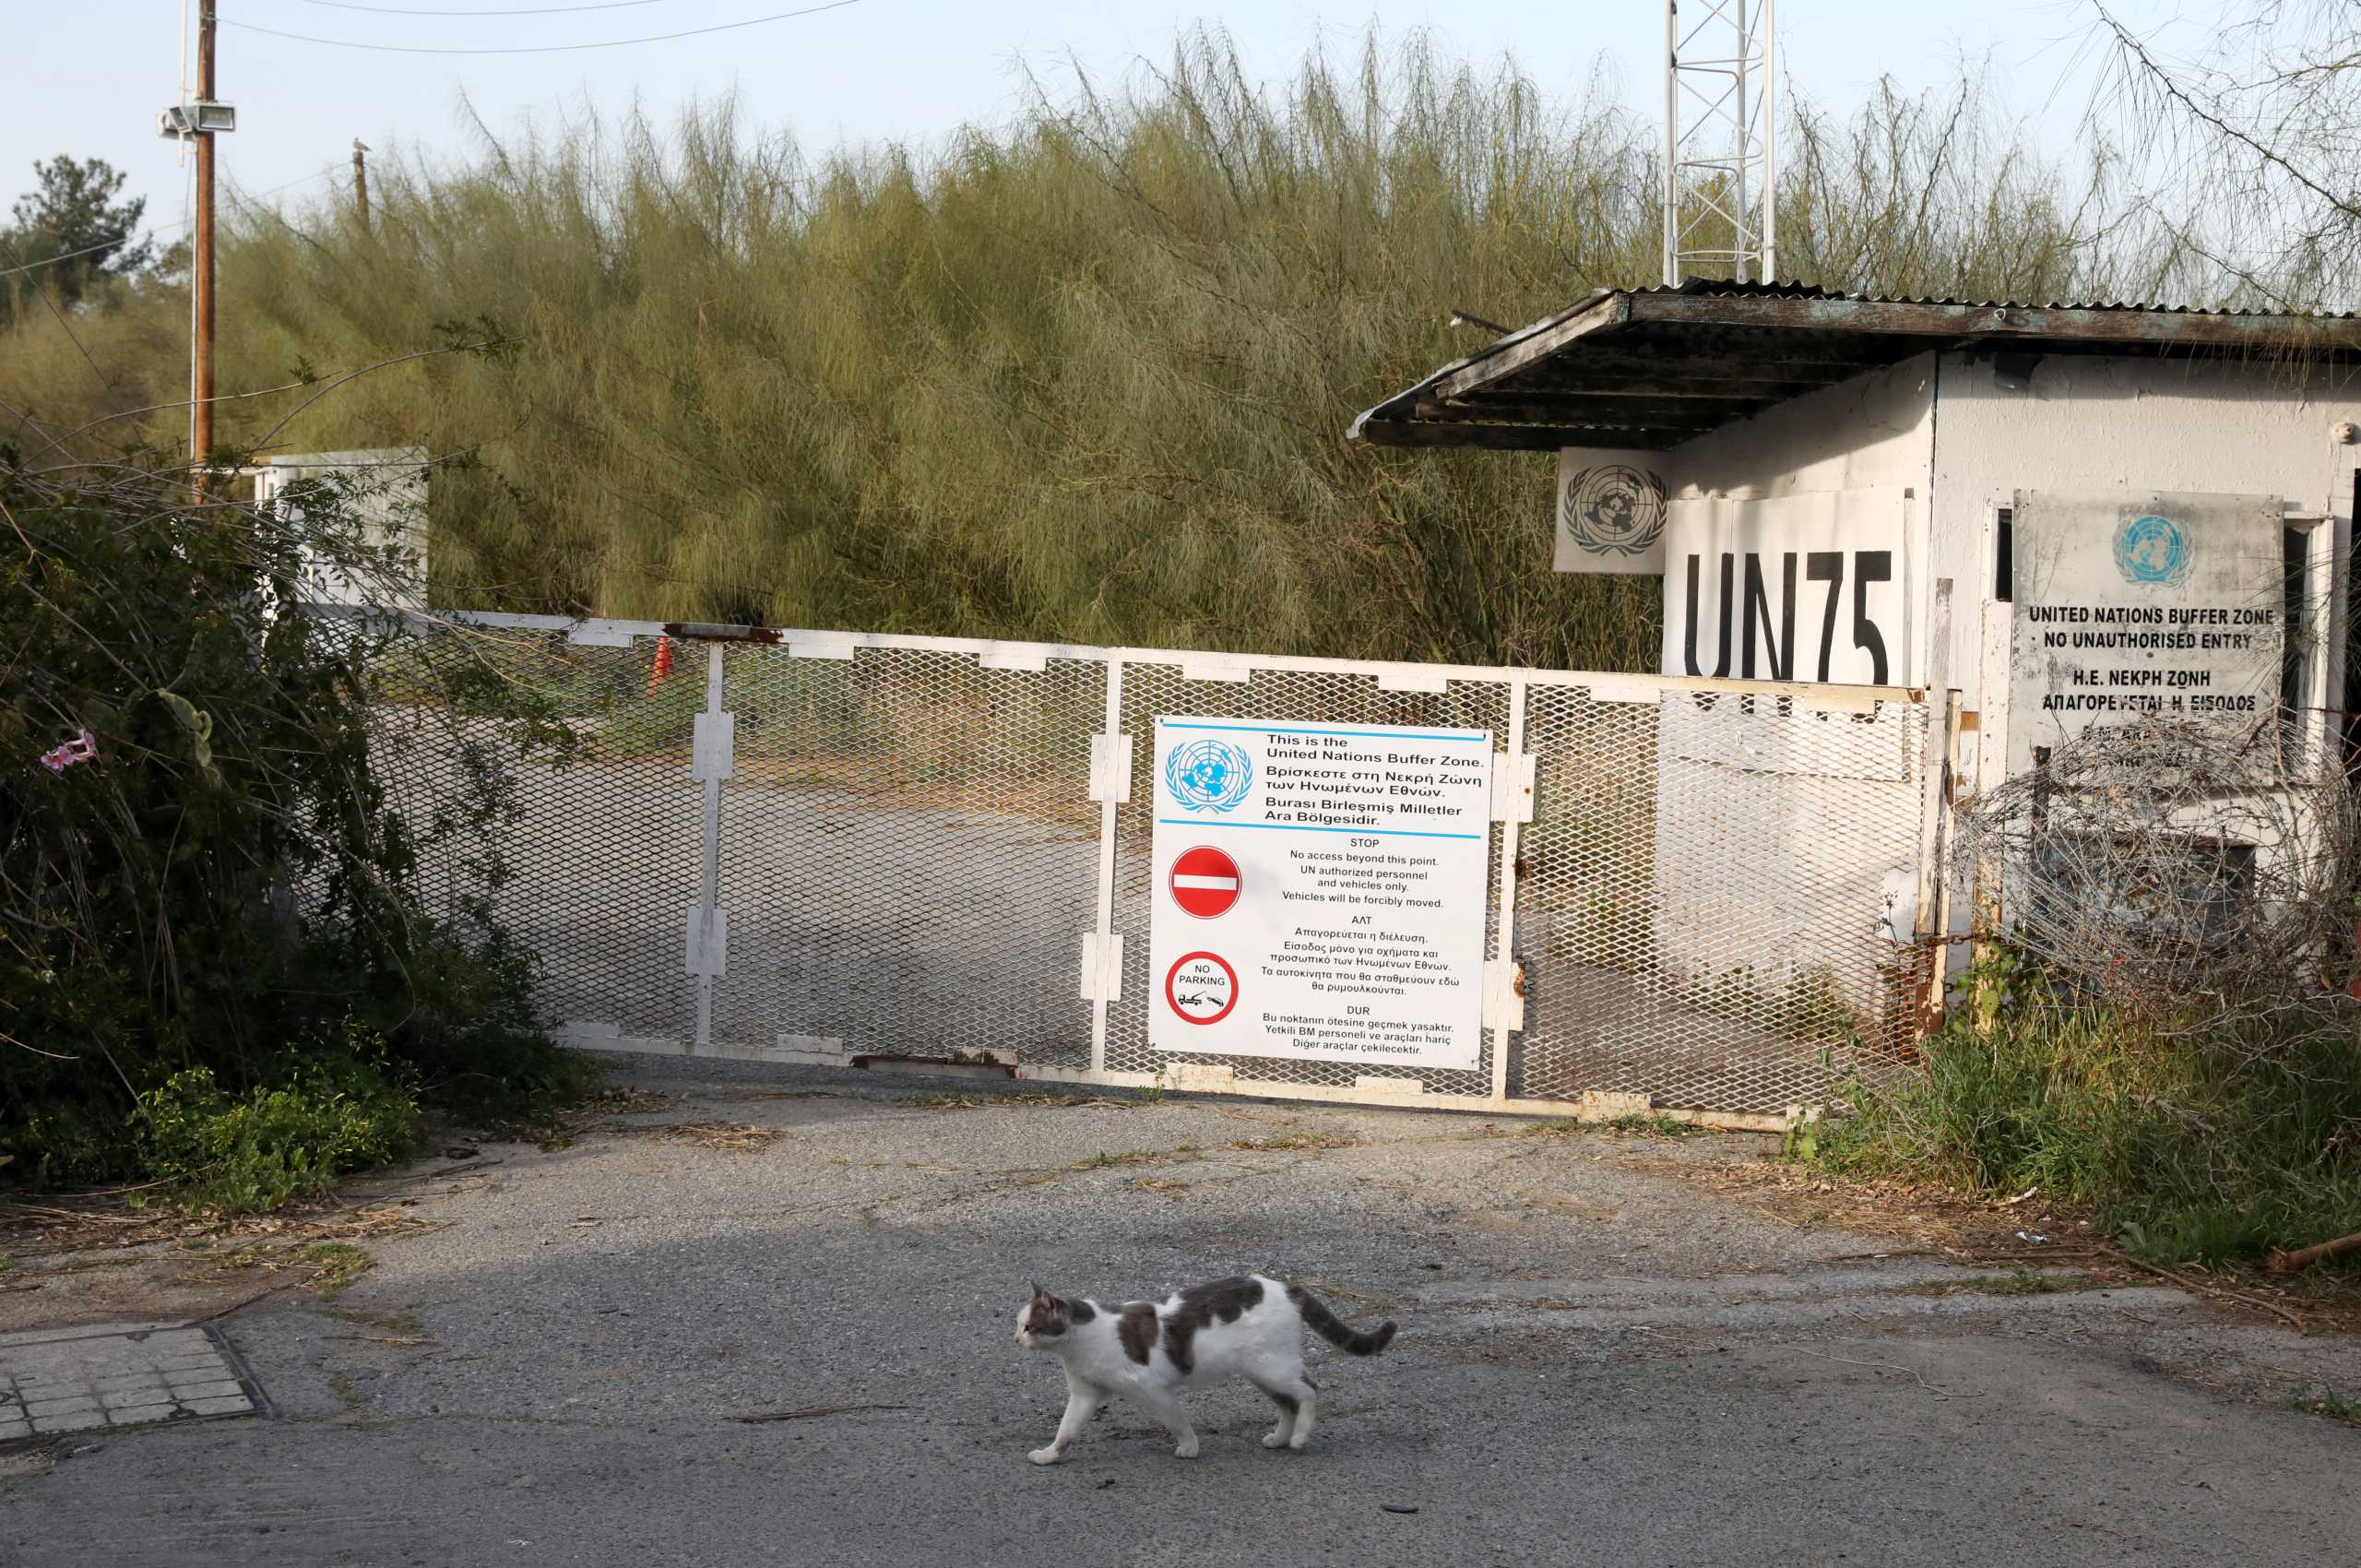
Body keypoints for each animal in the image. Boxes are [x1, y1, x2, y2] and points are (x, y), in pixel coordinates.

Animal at [1005, 1265, 1388, 1464]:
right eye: (1019, 1325)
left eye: (1030, 1327)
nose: (1014, 1340)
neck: (1082, 1343)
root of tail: (1285, 1286)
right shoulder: (1085, 1394)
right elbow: (1066, 1430)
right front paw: (1049, 1455)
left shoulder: (1153, 1391)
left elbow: (1177, 1423)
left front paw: (1189, 1448)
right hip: (1261, 1371)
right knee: (1289, 1403)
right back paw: (1280, 1438)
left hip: (1273, 1367)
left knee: (1309, 1390)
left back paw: (1299, 1437)